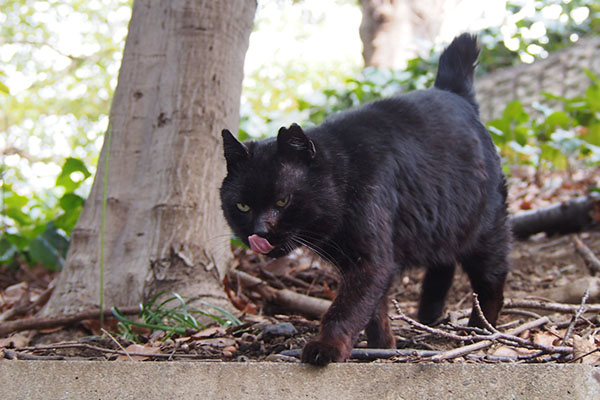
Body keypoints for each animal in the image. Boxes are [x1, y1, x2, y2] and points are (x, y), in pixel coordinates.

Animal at [220, 34, 510, 366]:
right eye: (243, 206)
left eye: (283, 201)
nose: (259, 232)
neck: (346, 174)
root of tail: (455, 94)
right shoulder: (364, 263)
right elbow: (374, 309)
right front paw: (382, 347)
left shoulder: (371, 261)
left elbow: (345, 309)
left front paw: (327, 348)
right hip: (440, 224)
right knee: (442, 265)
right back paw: (428, 317)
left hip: (485, 229)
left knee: (492, 279)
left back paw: (480, 330)